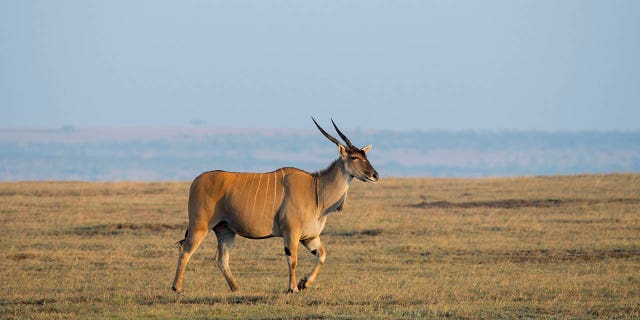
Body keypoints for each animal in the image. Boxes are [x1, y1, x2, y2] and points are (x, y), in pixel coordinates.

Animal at [172, 119, 378, 294]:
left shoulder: (310, 237)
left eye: (365, 155)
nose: (375, 175)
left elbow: (322, 255)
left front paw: (304, 283)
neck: (316, 190)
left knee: (221, 258)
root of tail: (196, 180)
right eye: (354, 157)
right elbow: (292, 259)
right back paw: (177, 287)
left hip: (225, 231)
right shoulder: (291, 232)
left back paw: (236, 288)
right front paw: (293, 288)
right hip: (200, 226)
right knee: (186, 250)